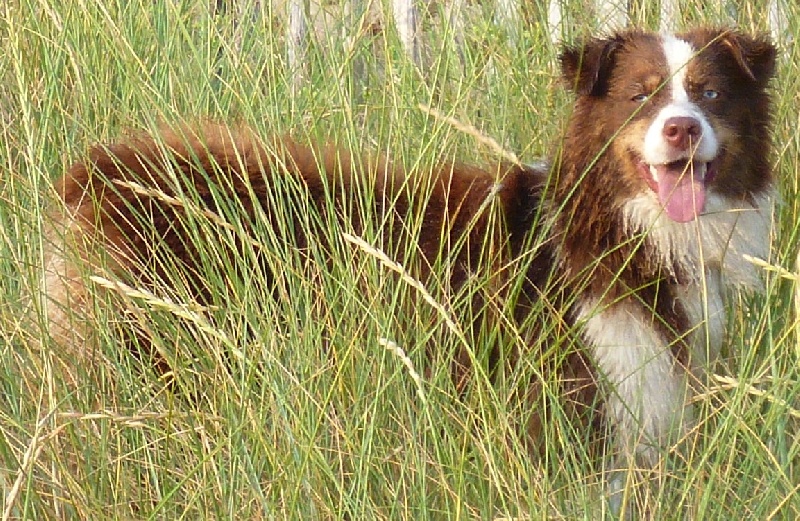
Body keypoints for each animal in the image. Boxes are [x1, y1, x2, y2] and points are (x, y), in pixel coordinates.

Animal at [43, 27, 776, 508]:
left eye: (710, 94)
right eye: (638, 96)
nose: (682, 128)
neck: (621, 227)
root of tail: (92, 173)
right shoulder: (578, 406)